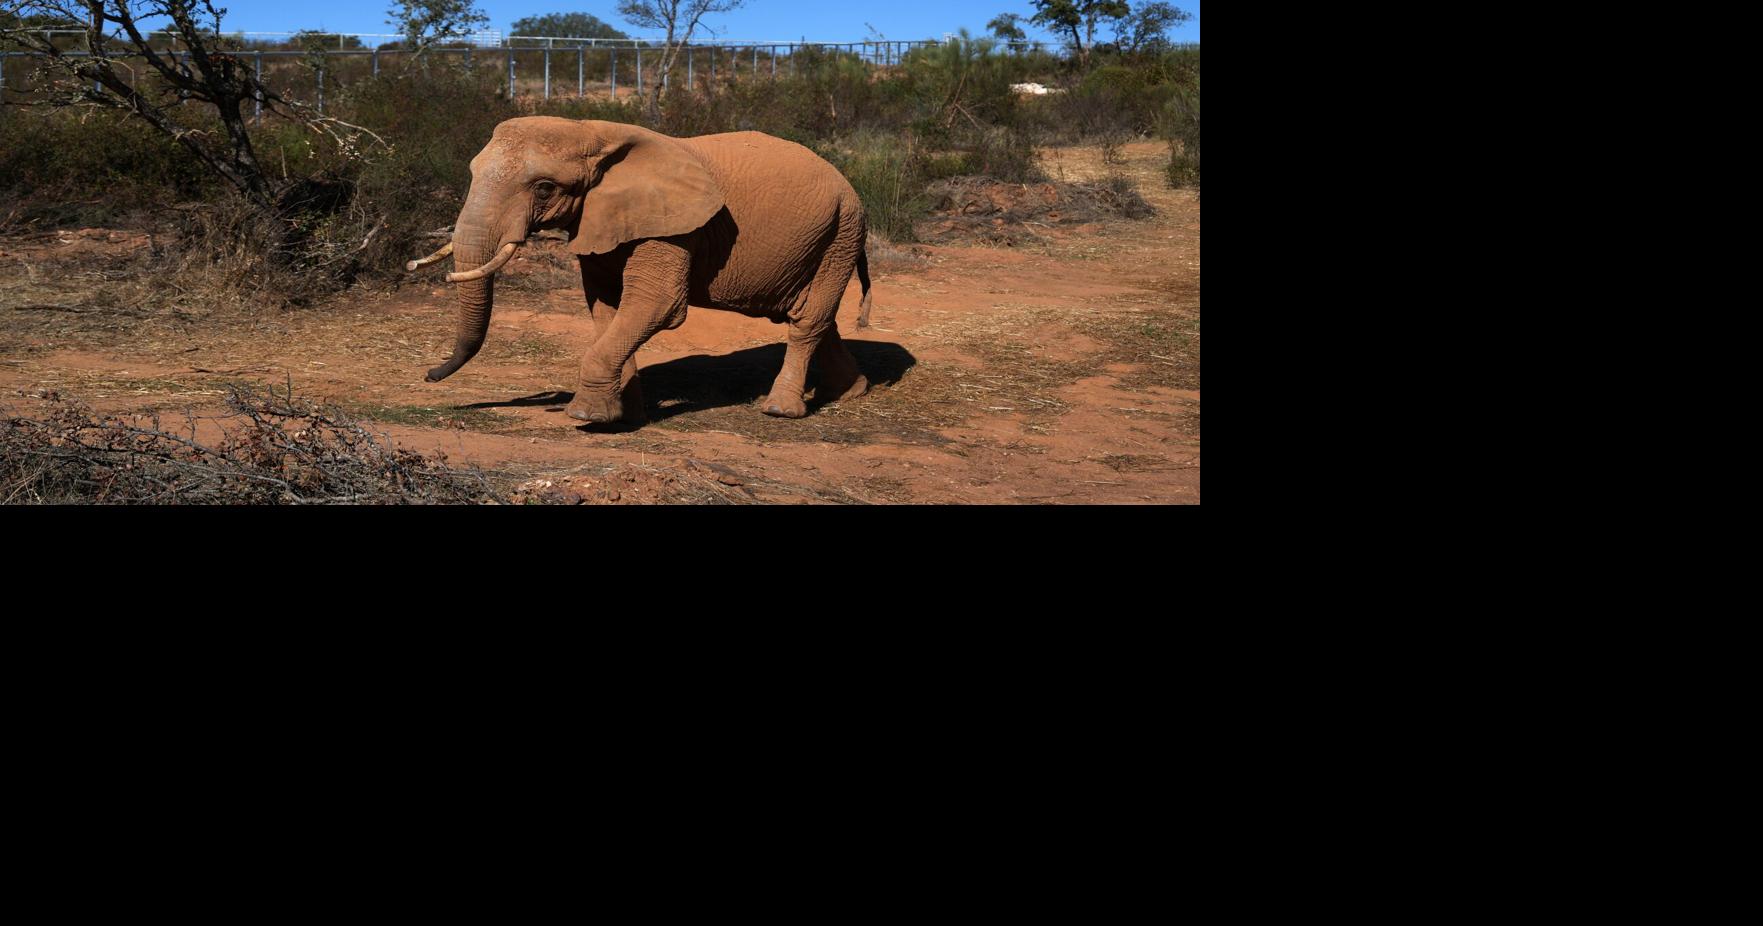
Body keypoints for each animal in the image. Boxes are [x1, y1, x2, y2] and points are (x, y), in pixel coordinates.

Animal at [405, 116, 874, 425]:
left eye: (544, 188)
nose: (429, 375)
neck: (594, 132)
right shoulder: (599, 218)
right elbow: (606, 305)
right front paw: (623, 414)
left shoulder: (674, 225)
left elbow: (656, 304)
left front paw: (585, 415)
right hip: (828, 237)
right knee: (812, 316)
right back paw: (850, 392)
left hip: (842, 231)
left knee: (807, 321)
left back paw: (780, 410)